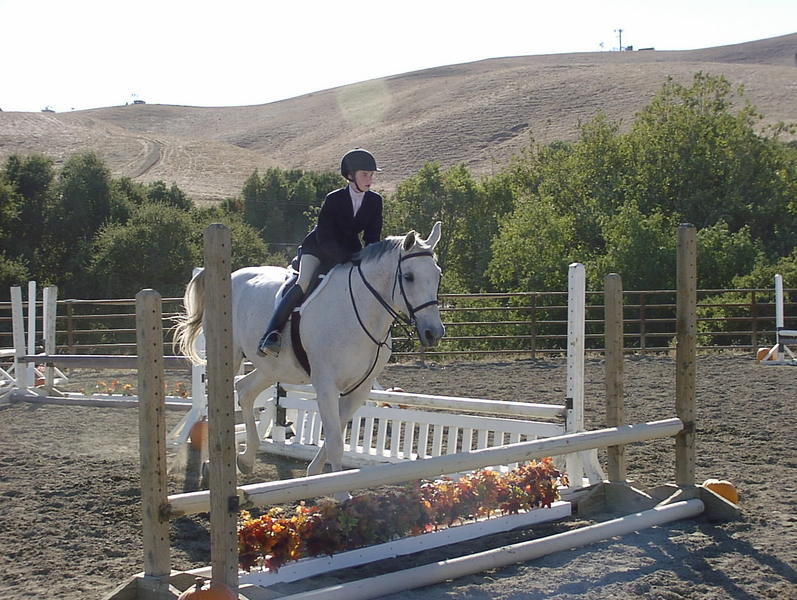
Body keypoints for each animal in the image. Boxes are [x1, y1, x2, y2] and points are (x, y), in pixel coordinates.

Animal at [175, 222, 445, 490]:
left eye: (438, 275)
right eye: (408, 277)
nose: (434, 333)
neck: (362, 311)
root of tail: (232, 275)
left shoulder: (360, 388)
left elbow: (336, 435)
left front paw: (314, 475)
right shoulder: (326, 385)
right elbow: (335, 441)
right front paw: (339, 492)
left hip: (272, 368)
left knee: (245, 391)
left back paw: (246, 459)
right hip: (230, 356)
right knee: (216, 399)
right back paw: (211, 465)